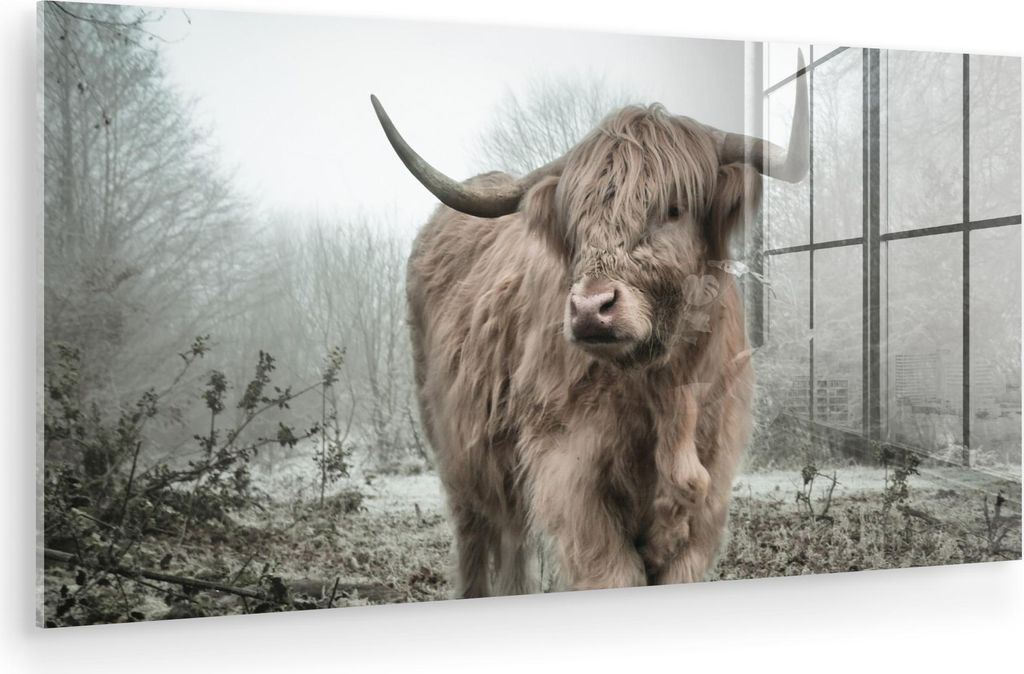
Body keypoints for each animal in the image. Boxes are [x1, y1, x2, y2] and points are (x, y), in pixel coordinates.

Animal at [370, 54, 808, 597]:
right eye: (575, 220)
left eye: (673, 209)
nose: (589, 309)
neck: (666, 390)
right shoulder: (571, 478)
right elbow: (613, 573)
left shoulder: (710, 492)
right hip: (458, 451)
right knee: (479, 536)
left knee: (513, 539)